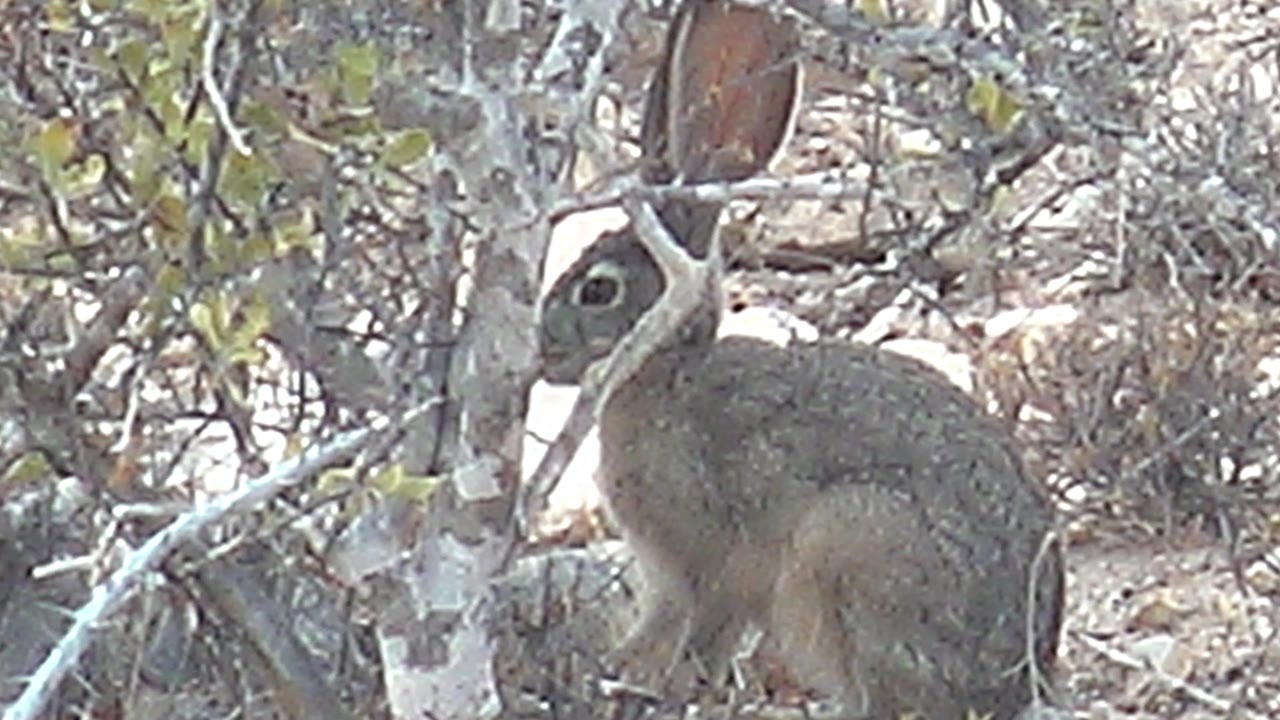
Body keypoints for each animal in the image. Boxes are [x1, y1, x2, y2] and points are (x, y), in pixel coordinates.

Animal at [538, 227, 1064, 719]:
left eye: (599, 289)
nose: (543, 345)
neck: (667, 371)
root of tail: (1009, 689)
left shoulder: (706, 556)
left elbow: (702, 638)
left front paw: (666, 691)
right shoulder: (673, 577)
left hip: (855, 540)